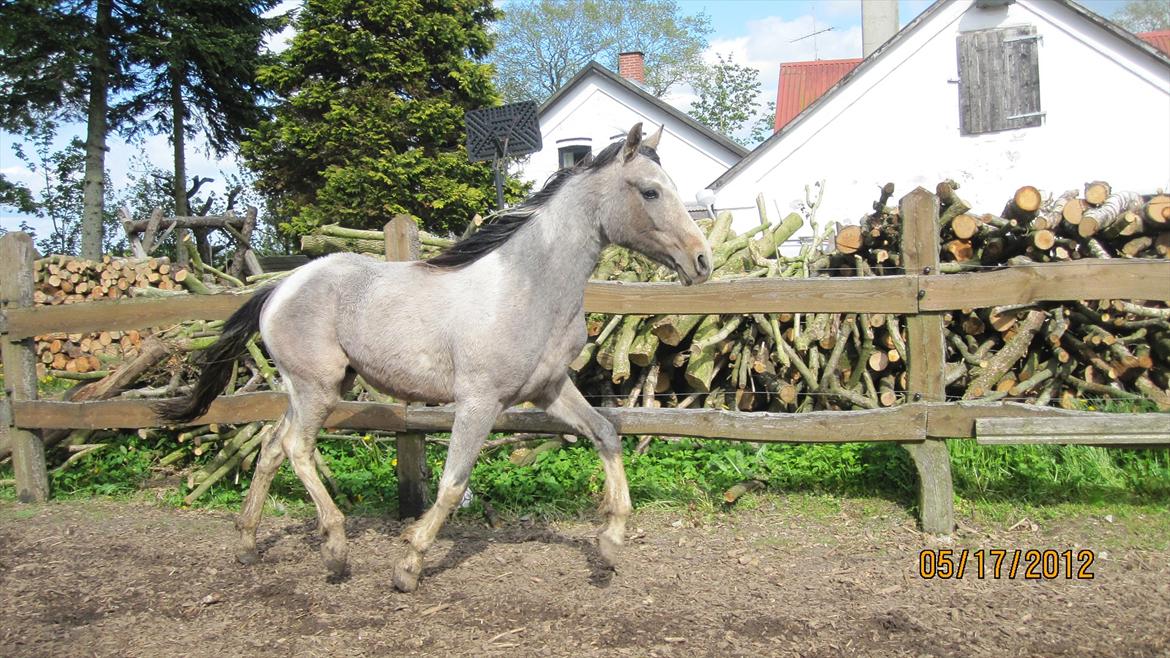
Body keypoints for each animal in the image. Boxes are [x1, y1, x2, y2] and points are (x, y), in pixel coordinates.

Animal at [157, 122, 711, 590]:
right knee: (296, 448)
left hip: (315, 388)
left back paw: (248, 544)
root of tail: (280, 286)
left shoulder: (549, 391)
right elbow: (451, 484)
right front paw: (408, 564)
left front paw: (612, 543)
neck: (529, 288)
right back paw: (335, 550)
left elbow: (607, 434)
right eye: (650, 191)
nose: (701, 260)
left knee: (273, 447)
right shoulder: (479, 402)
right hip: (317, 389)